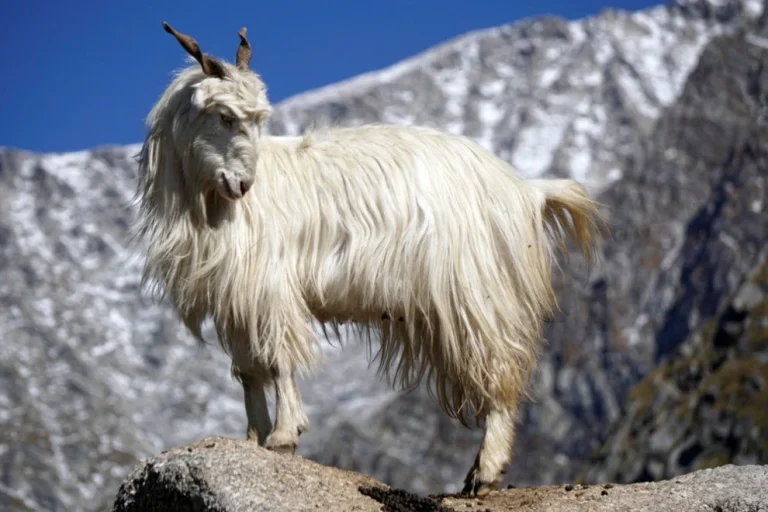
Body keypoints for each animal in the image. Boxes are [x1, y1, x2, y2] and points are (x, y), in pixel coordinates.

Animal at [133, 22, 603, 496]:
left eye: (258, 119)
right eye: (225, 116)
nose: (244, 185)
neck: (202, 205)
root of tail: (526, 189)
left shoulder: (270, 287)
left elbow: (279, 358)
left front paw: (284, 436)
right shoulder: (234, 298)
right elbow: (250, 370)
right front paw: (254, 438)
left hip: (476, 295)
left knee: (499, 369)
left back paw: (485, 472)